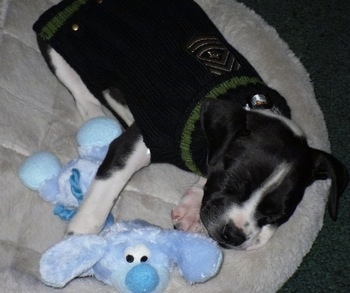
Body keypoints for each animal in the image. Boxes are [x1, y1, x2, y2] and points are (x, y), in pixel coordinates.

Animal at [32, 0, 348, 249]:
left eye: (277, 215)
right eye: (232, 183)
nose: (234, 235)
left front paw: (193, 206)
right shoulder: (137, 143)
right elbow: (106, 189)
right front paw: (80, 239)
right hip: (64, 42)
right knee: (75, 83)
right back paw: (95, 115)